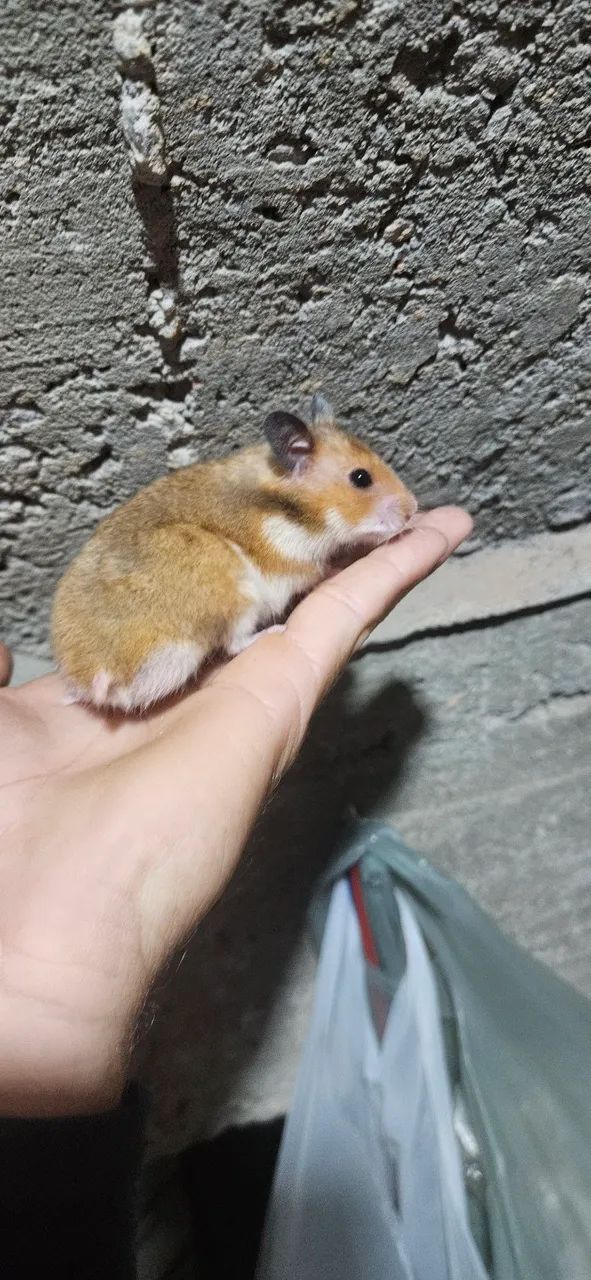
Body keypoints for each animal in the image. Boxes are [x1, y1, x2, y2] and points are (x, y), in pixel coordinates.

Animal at [52, 395, 417, 712]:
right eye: (361, 478)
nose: (414, 509)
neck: (291, 509)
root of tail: (97, 673)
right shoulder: (296, 561)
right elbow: (319, 569)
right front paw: (342, 562)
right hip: (237, 597)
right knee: (235, 643)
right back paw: (273, 632)